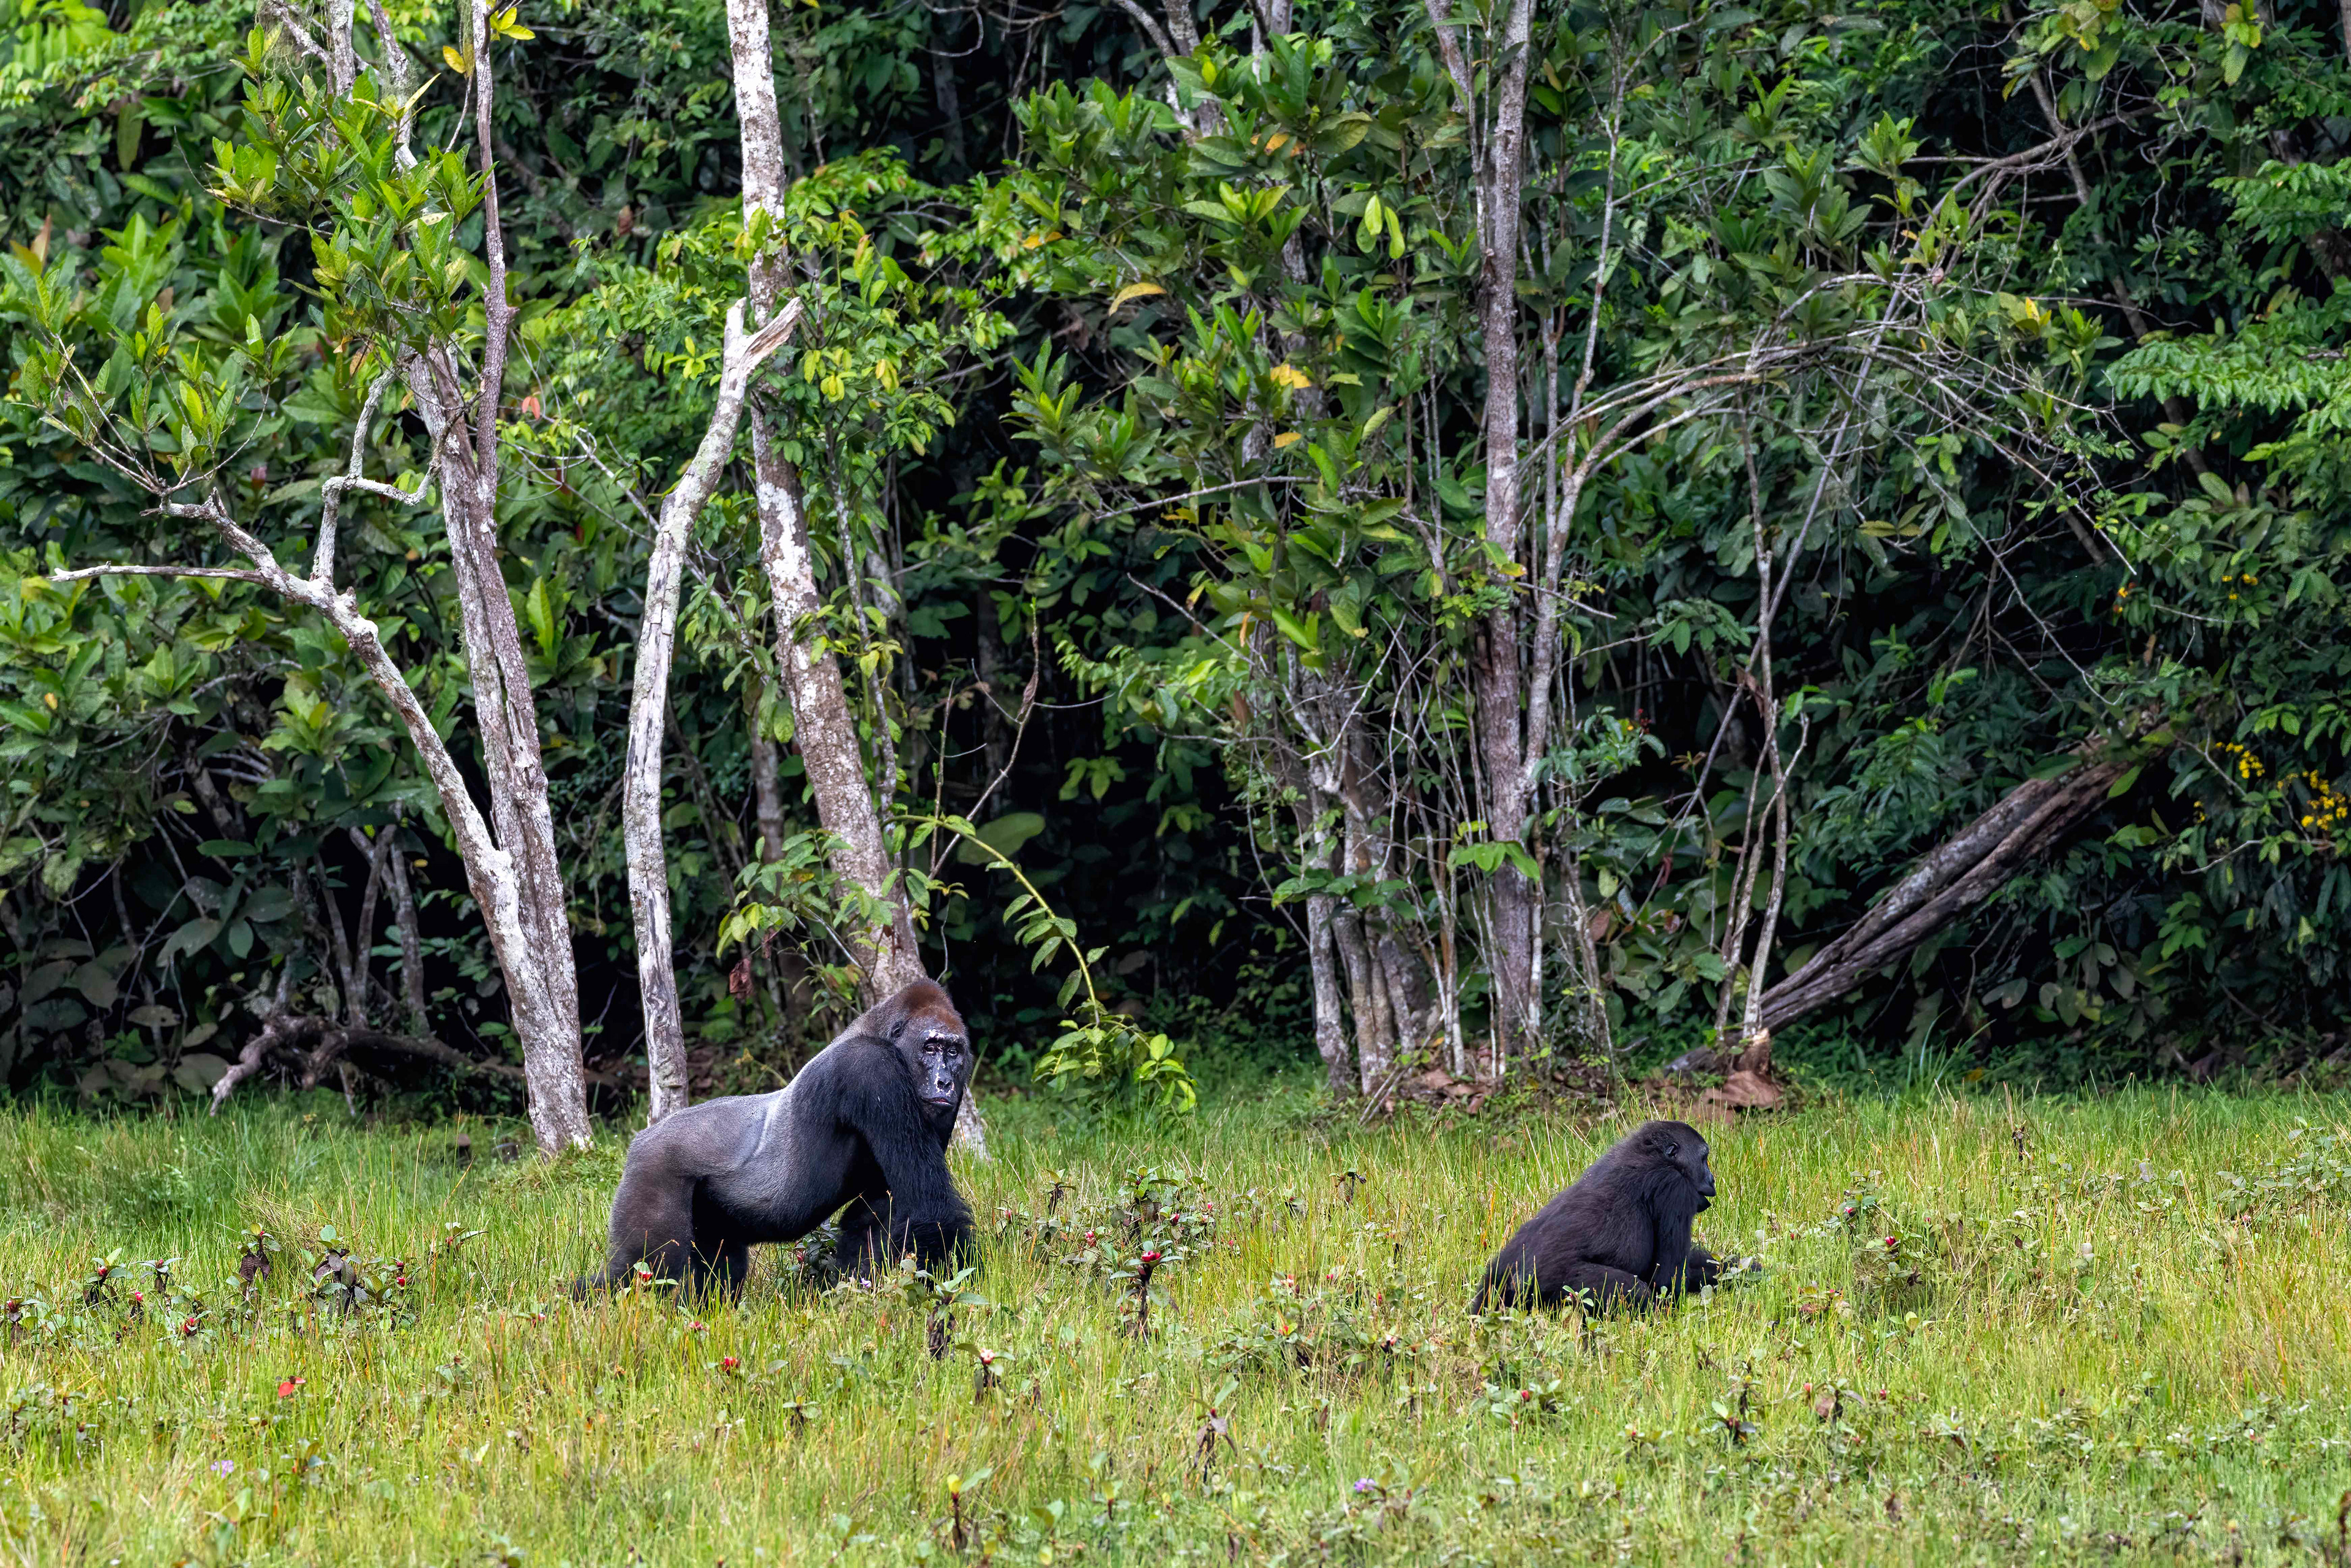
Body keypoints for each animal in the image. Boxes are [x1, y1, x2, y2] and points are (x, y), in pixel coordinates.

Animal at [578, 979, 975, 1299]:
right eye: (930, 1048)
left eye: (953, 1052)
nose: (945, 1083)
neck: (877, 1033)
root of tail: (639, 1141)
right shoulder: (871, 1069)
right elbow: (929, 1206)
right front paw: (957, 1288)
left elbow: (880, 1212)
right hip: (655, 1168)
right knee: (641, 1272)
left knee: (716, 1271)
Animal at [1470, 1119, 1725, 1314]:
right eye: (1704, 1159)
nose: (1712, 1179)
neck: (1651, 1154)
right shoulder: (1674, 1188)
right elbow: (1666, 1280)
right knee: (1634, 1290)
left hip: (1494, 1285)